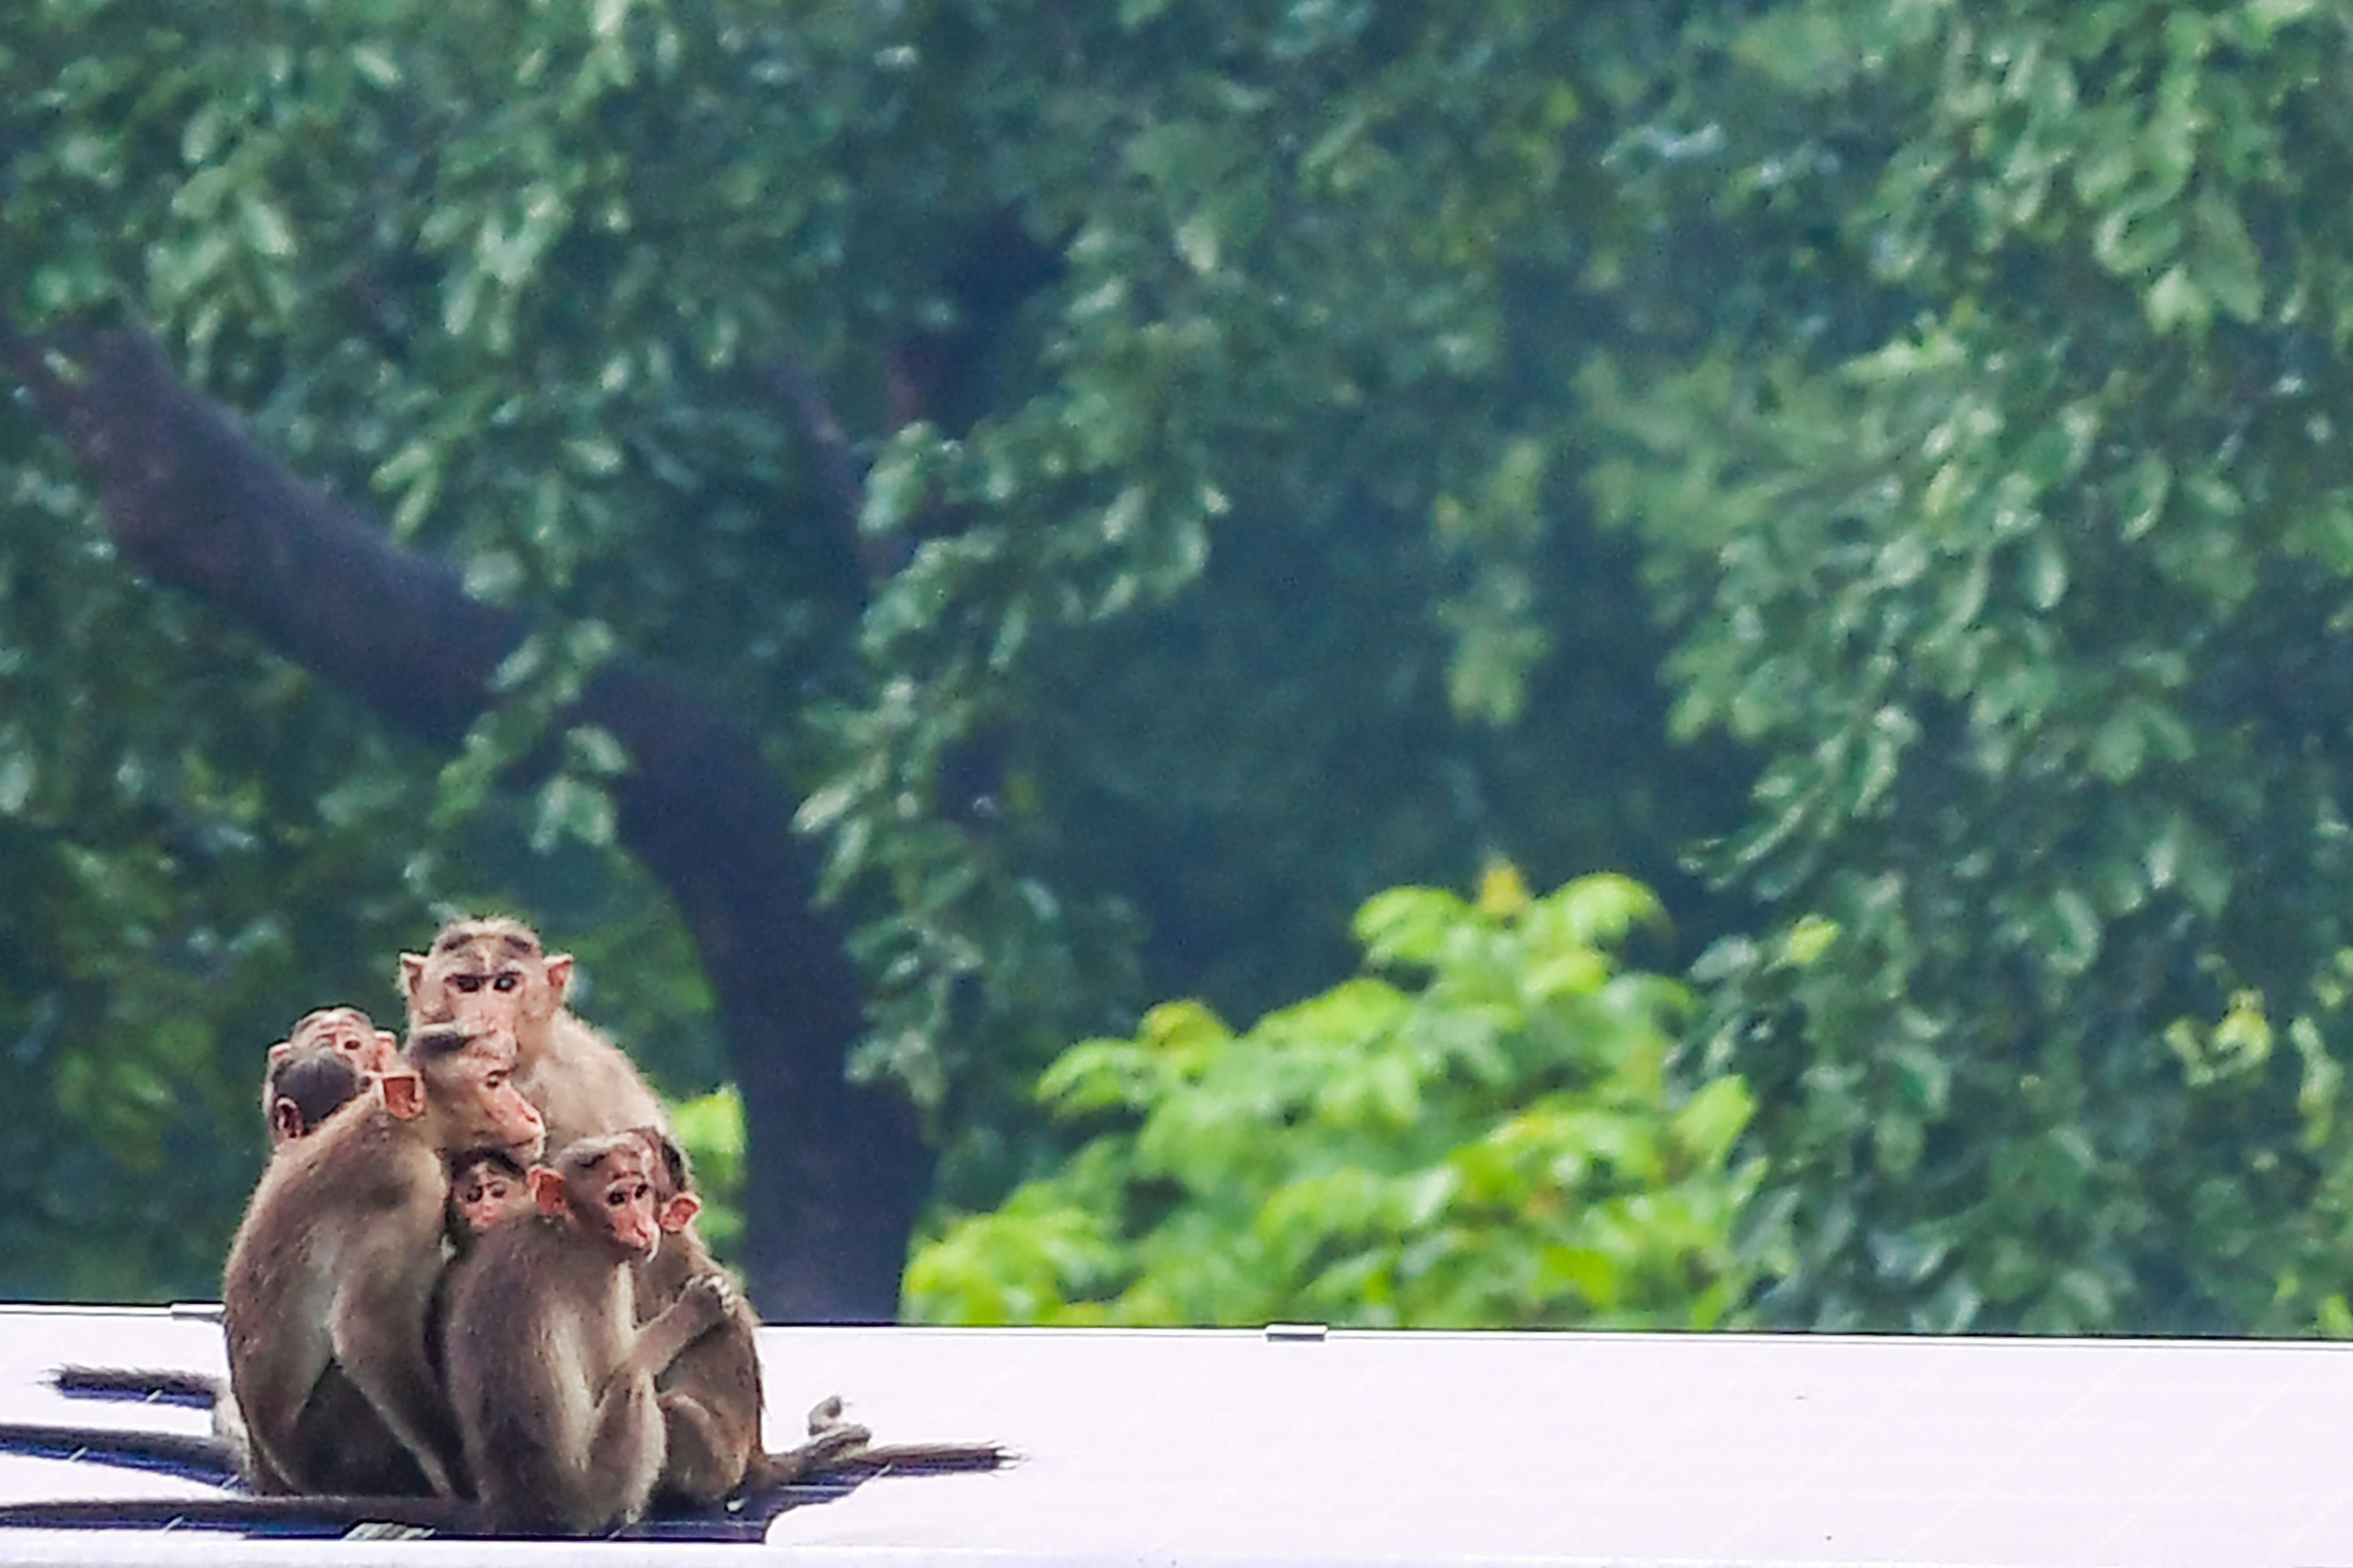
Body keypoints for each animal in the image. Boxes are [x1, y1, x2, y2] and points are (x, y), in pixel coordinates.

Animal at [221, 1025, 546, 1504]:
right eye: (493, 1082)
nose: (527, 1112)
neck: (408, 1127)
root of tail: (271, 1477)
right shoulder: (408, 1189)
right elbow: (368, 1331)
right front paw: (461, 1472)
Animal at [442, 1133, 734, 1542]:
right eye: (617, 1198)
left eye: (640, 1192)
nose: (643, 1228)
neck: (566, 1226)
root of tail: (530, 1512)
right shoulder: (602, 1280)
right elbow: (621, 1364)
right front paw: (695, 1309)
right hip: (598, 1491)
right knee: (634, 1382)